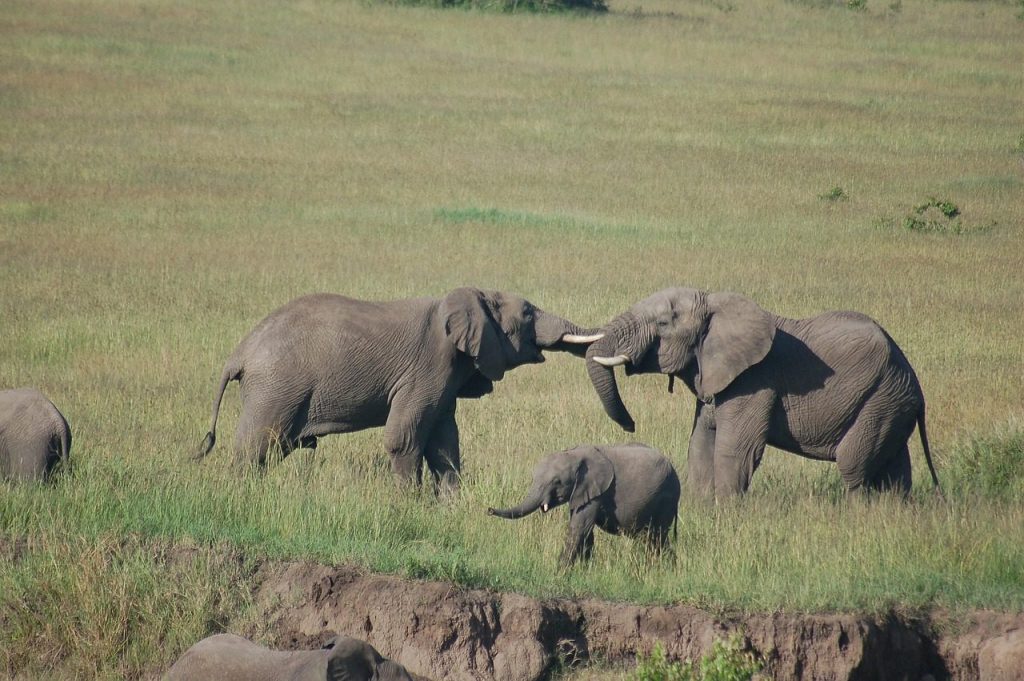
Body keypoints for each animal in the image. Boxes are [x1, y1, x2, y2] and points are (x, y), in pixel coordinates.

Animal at [196, 288, 600, 490]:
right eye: (529, 313)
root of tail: (239, 354)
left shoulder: (448, 375)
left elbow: (444, 443)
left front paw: (451, 507)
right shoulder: (428, 366)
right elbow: (403, 438)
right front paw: (408, 506)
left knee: (273, 448)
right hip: (275, 387)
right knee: (255, 447)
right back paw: (240, 496)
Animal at [487, 443, 680, 567]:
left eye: (557, 482)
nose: (489, 510)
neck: (575, 454)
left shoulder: (596, 491)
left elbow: (579, 527)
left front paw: (559, 572)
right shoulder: (582, 493)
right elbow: (586, 532)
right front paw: (585, 569)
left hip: (666, 497)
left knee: (656, 536)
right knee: (651, 538)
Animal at [586, 288, 942, 500]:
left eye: (663, 323)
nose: (630, 426)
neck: (716, 304)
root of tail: (915, 383)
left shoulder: (754, 381)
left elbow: (735, 448)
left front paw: (725, 516)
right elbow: (700, 443)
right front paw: (701, 508)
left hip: (881, 398)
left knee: (855, 465)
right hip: (891, 402)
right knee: (894, 468)